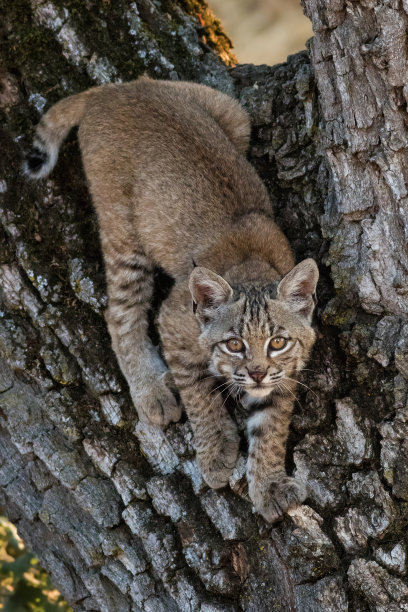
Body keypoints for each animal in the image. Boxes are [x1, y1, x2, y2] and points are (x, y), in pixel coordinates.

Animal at [26, 76, 318, 520]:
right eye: (234, 344)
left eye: (278, 342)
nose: (255, 374)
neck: (252, 271)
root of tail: (115, 90)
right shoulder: (173, 322)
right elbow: (198, 392)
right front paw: (215, 453)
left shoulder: (286, 372)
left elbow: (272, 424)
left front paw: (267, 485)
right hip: (123, 231)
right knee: (119, 312)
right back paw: (151, 392)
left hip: (234, 116)